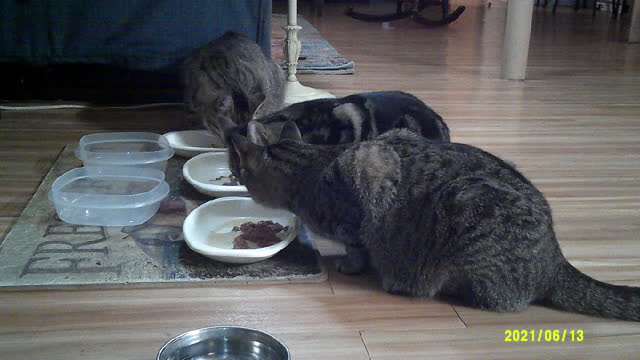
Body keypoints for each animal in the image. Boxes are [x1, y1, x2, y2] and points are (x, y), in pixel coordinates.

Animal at [225, 120, 640, 320]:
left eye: (242, 172)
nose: (238, 181)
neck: (309, 166)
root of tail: (556, 258)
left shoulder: (367, 184)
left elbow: (358, 245)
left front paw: (350, 265)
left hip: (468, 207)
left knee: (501, 300)